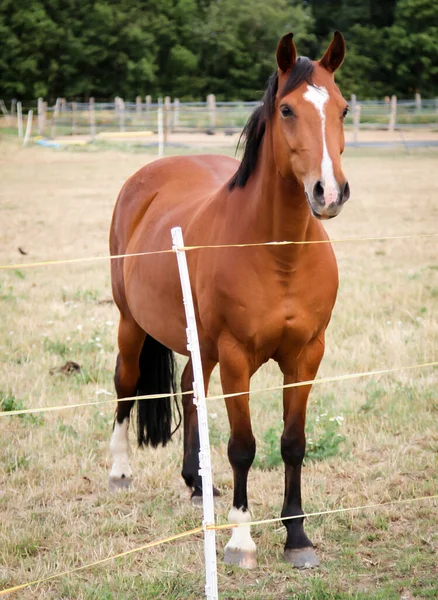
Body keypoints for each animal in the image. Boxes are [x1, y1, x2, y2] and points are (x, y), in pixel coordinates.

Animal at [108, 31, 350, 568]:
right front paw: (241, 539)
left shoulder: (307, 355)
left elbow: (293, 442)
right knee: (126, 386)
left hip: (202, 345)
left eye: (344, 108)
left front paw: (297, 535)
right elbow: (243, 446)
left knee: (187, 390)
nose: (328, 192)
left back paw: (196, 483)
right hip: (131, 323)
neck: (279, 254)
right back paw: (119, 472)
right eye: (286, 109)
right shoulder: (238, 357)